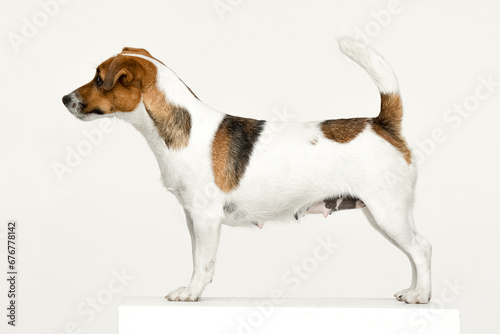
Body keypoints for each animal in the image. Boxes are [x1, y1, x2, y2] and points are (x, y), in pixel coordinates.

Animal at [61, 37, 430, 304]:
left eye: (99, 79)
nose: (65, 99)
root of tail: (382, 123)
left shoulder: (205, 219)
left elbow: (202, 262)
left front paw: (191, 293)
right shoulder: (192, 217)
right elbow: (196, 257)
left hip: (387, 213)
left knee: (421, 249)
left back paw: (422, 296)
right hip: (385, 215)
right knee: (418, 248)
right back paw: (412, 291)